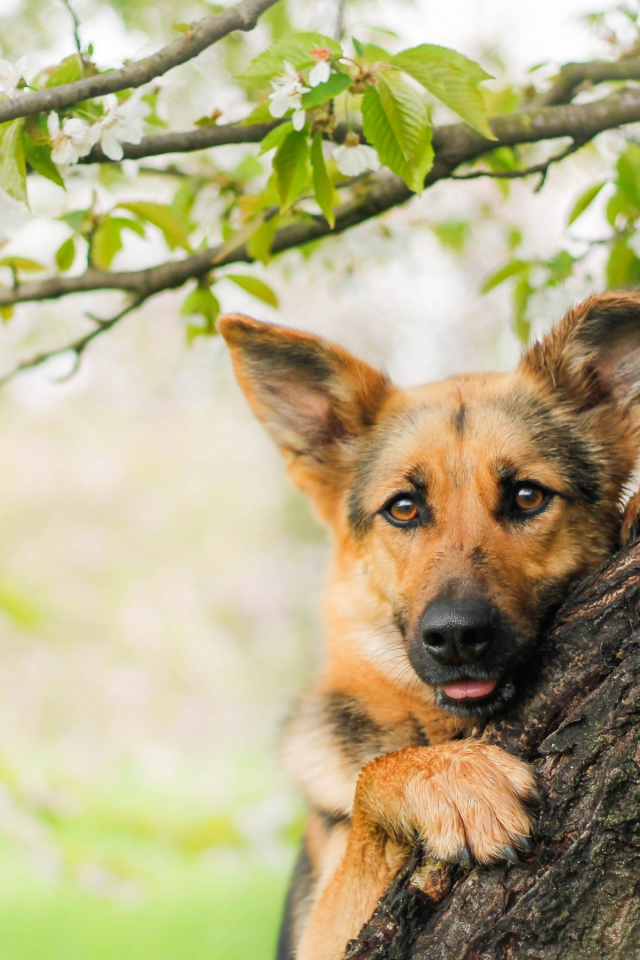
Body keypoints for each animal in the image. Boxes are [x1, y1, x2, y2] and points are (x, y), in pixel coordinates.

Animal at [218, 292, 640, 960]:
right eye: (404, 508)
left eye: (527, 496)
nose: (456, 637)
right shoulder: (323, 934)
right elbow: (370, 780)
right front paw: (447, 779)